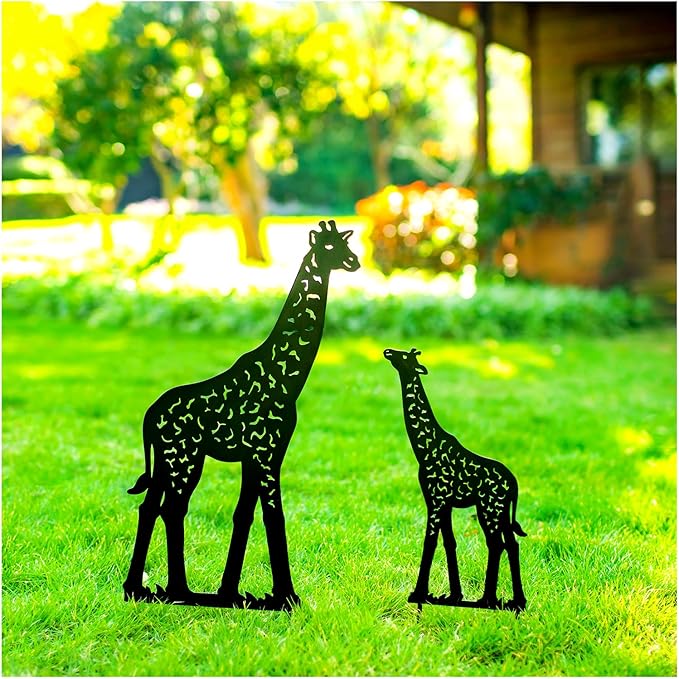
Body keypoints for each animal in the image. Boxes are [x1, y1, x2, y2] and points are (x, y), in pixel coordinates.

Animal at [123, 220, 360, 610]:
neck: (287, 379)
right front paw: (286, 597)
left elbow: (243, 514)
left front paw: (230, 593)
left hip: (166, 460)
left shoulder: (256, 456)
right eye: (328, 247)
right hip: (184, 458)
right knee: (172, 508)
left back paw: (137, 589)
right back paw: (179, 592)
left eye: (345, 244)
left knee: (150, 506)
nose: (355, 261)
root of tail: (149, 416)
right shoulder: (268, 453)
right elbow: (274, 514)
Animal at [383, 348, 527, 612]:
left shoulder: (436, 499)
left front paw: (419, 593)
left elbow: (429, 542)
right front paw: (453, 596)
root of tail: (514, 485)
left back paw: (488, 599)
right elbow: (449, 542)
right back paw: (516, 600)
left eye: (406, 357)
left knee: (496, 544)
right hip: (500, 512)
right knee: (511, 543)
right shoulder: (444, 502)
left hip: (489, 509)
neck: (424, 448)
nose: (388, 351)